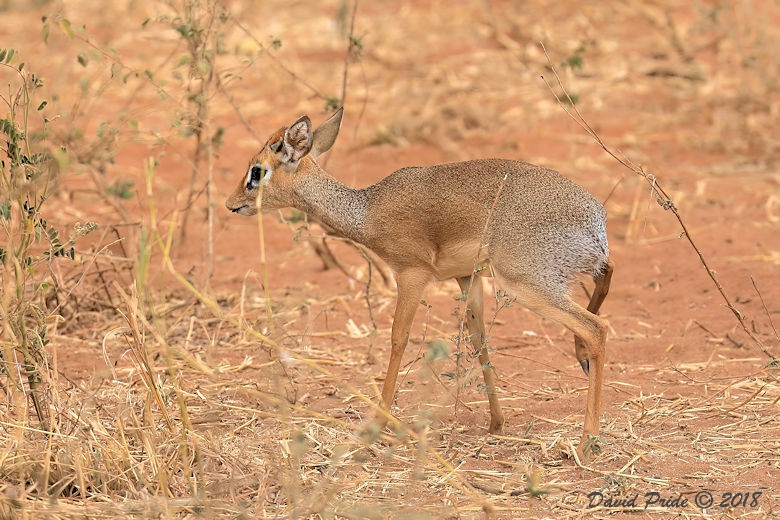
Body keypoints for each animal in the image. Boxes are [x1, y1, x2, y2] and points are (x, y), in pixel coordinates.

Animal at [227, 107, 616, 458]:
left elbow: (398, 339)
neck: (368, 211)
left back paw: (587, 441)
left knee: (596, 328)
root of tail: (595, 221)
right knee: (606, 278)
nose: (232, 204)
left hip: (526, 284)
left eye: (257, 171)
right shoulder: (466, 277)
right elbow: (479, 341)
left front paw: (376, 426)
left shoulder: (411, 274)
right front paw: (496, 423)